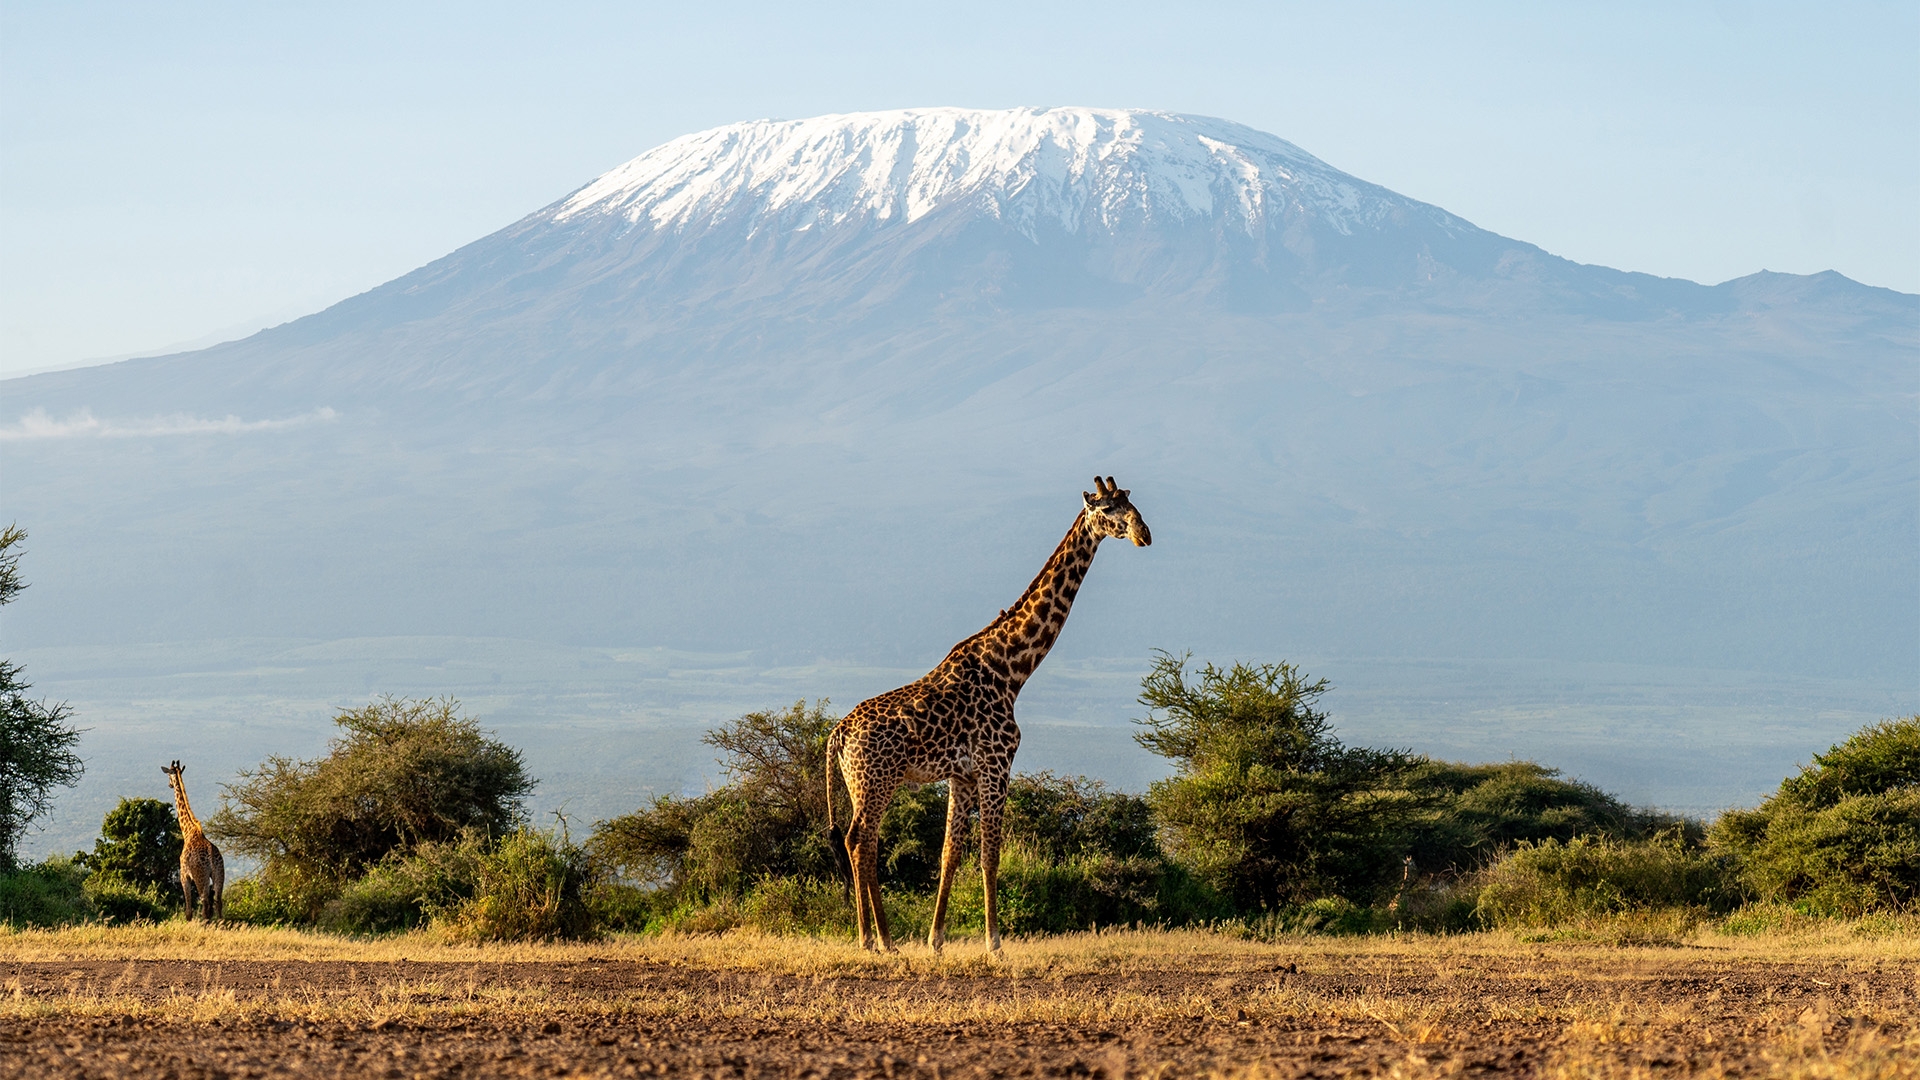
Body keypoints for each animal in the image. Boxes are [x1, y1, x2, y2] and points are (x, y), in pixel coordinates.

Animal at [159, 757, 222, 914]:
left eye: (168, 775)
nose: (169, 784)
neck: (188, 832)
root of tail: (212, 859)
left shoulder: (184, 875)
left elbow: (188, 911)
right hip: (219, 874)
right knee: (218, 902)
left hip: (200, 877)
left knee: (205, 903)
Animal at [829, 474, 1152, 945]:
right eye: (1109, 510)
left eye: (1133, 504)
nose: (1144, 534)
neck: (1011, 669)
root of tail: (838, 734)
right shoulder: (997, 764)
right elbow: (990, 854)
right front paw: (994, 942)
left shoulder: (962, 775)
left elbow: (949, 854)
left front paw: (936, 941)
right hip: (876, 781)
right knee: (860, 840)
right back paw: (874, 939)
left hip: (861, 784)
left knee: (863, 842)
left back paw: (883, 941)